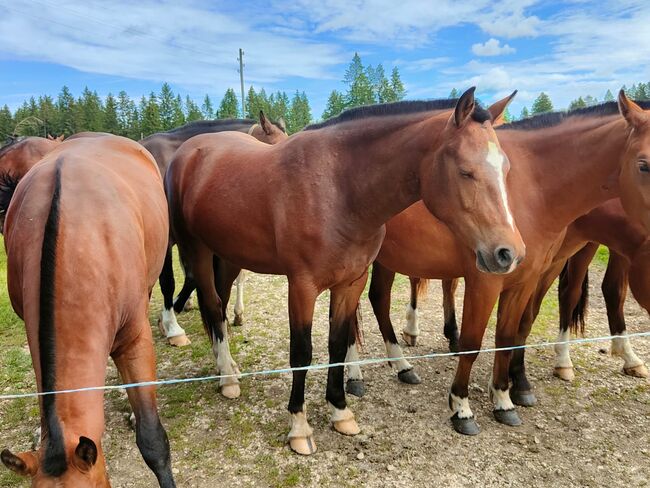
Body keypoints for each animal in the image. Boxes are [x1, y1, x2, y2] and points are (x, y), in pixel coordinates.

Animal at [165, 89, 524, 456]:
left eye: (507, 168)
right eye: (466, 171)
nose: (508, 254)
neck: (339, 188)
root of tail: (189, 152)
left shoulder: (351, 283)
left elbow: (337, 346)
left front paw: (340, 411)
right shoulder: (302, 286)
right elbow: (302, 352)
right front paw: (299, 427)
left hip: (228, 255)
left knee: (220, 306)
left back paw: (226, 365)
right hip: (198, 250)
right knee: (211, 305)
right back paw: (227, 377)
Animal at [362, 93, 648, 436]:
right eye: (644, 164)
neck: (536, 187)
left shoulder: (529, 277)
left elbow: (509, 335)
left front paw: (504, 397)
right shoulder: (485, 281)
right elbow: (473, 342)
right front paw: (462, 407)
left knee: (377, 298)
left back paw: (400, 365)